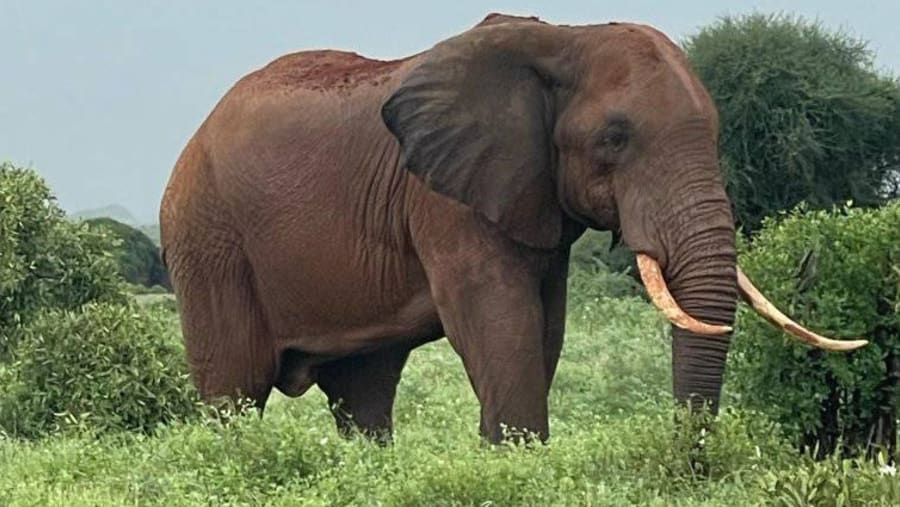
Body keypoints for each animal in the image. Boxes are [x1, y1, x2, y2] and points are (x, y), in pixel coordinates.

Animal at [160, 13, 865, 443]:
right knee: (234, 392)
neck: (565, 37)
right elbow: (499, 325)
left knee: (363, 395)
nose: (690, 464)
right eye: (614, 139)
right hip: (207, 238)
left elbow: (544, 329)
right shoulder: (445, 198)